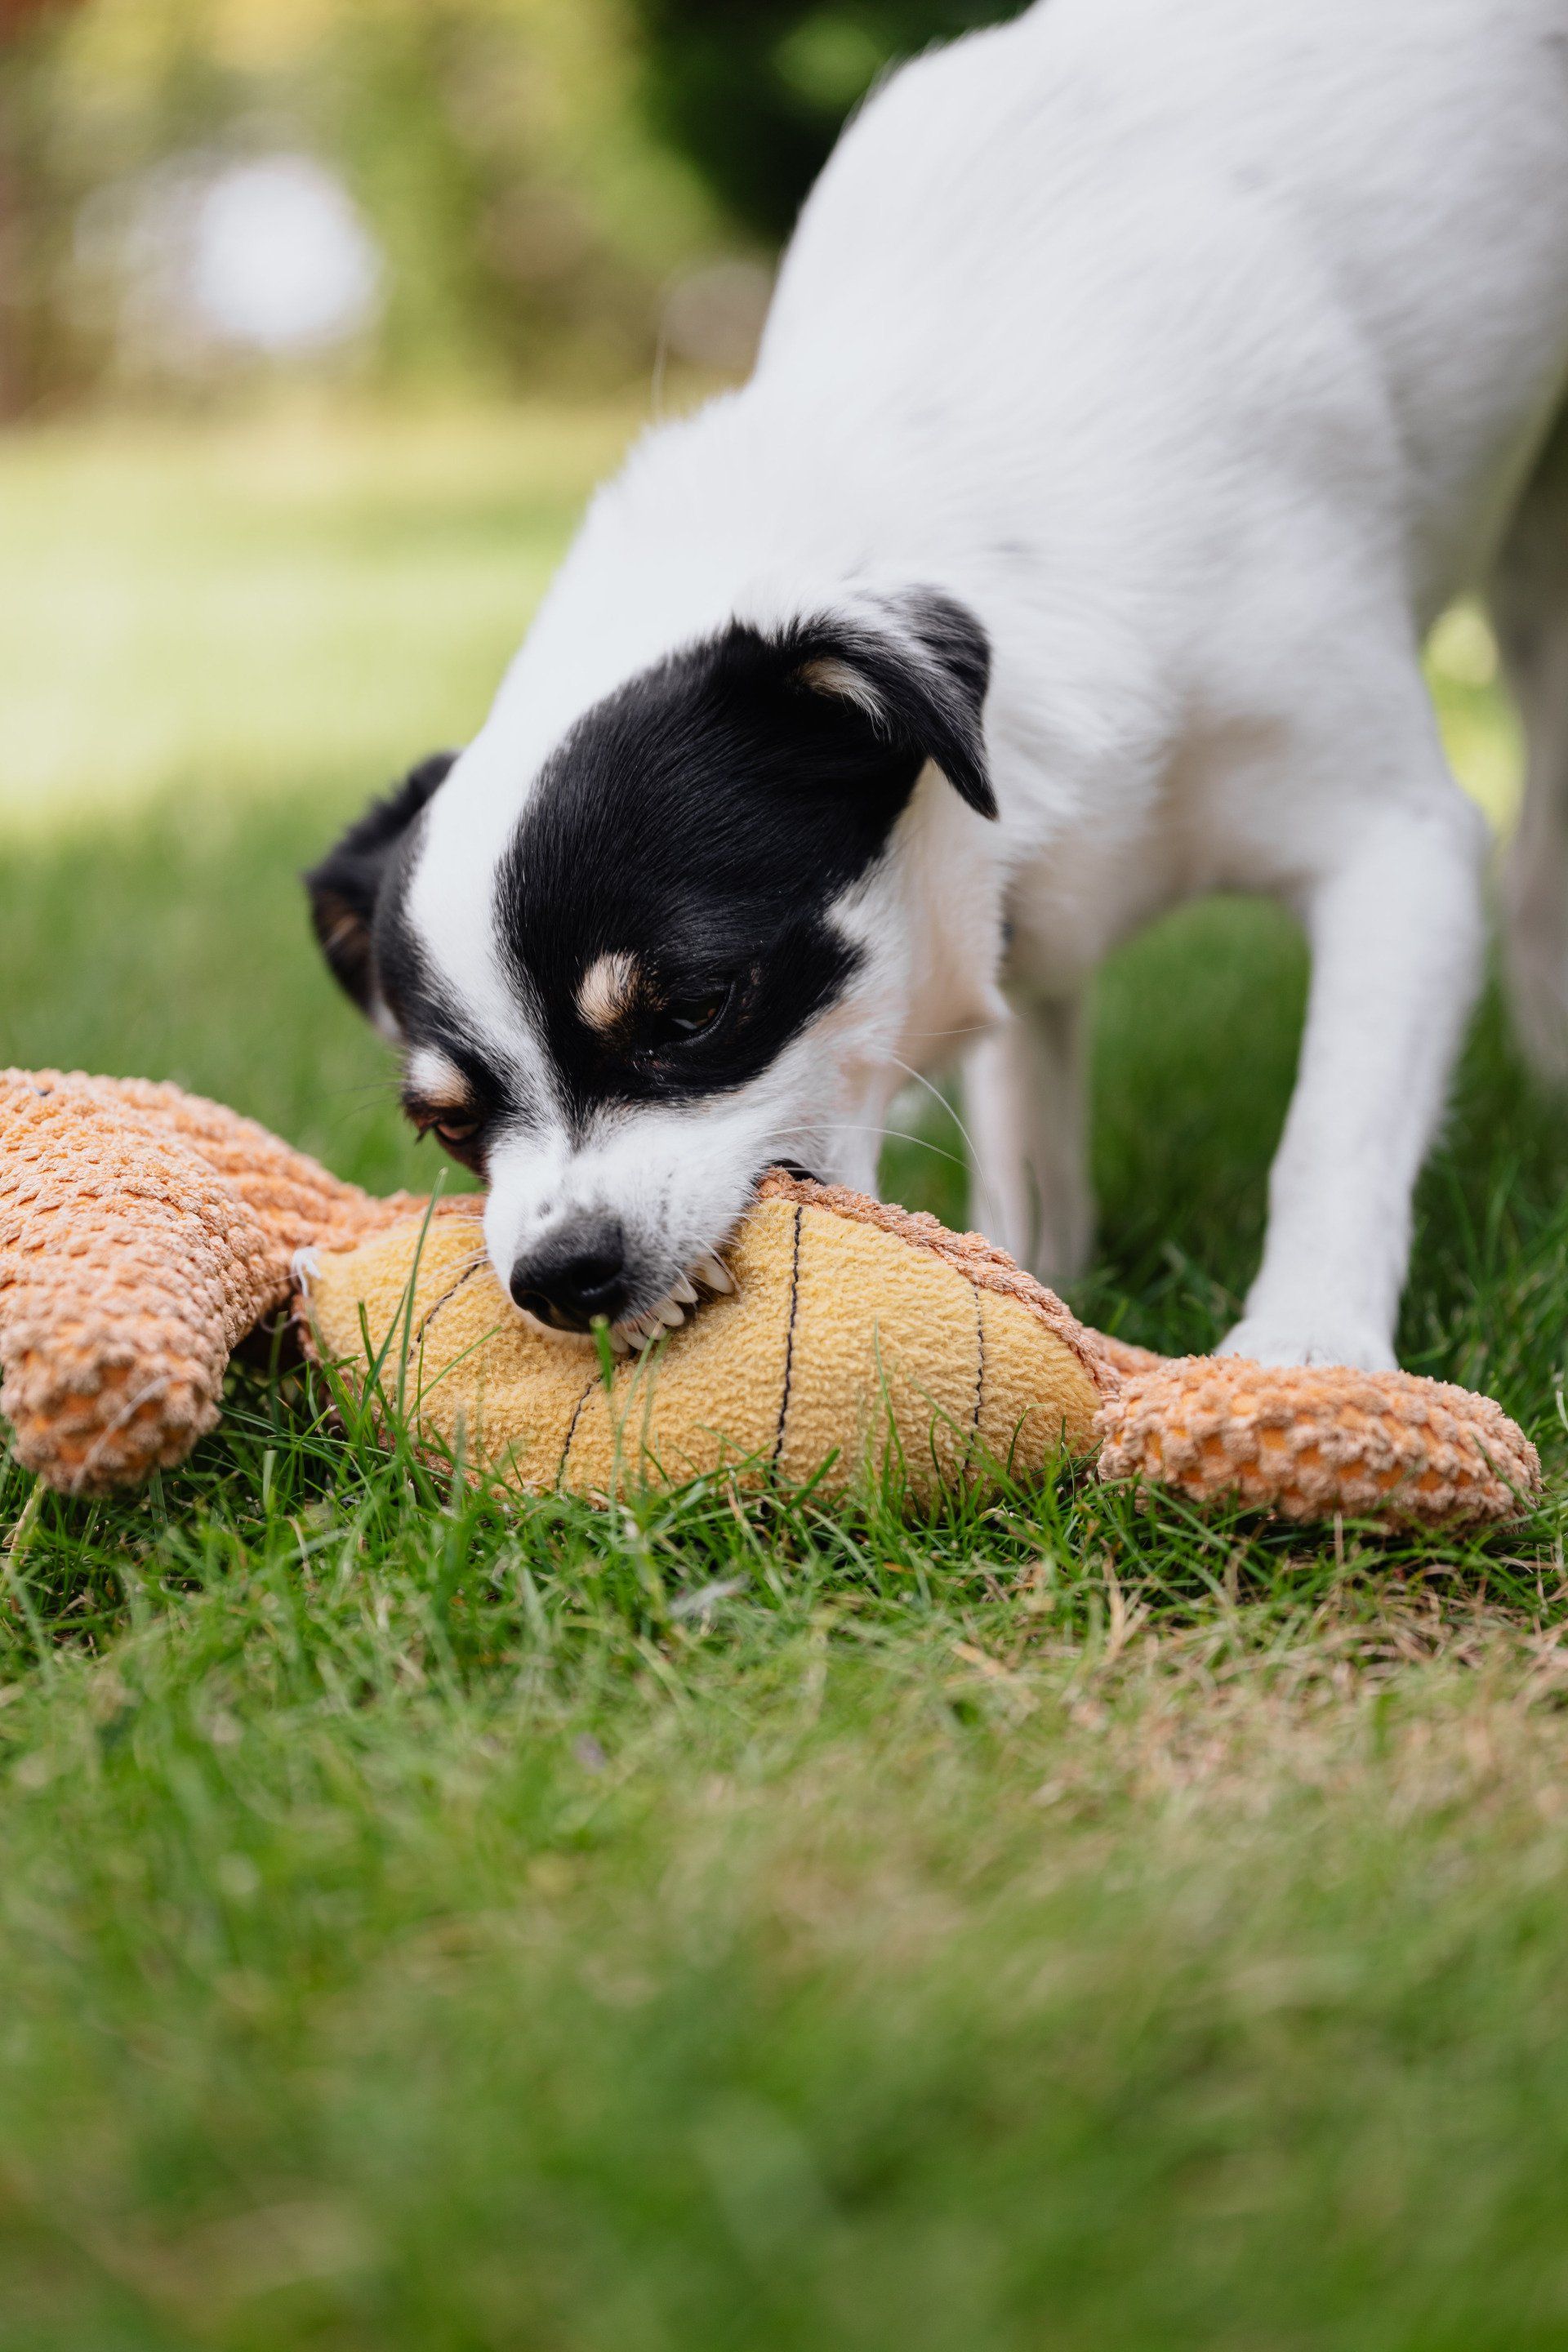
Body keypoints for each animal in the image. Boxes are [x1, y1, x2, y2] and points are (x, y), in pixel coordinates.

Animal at [305, 0, 1568, 1373]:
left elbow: (1338, 1124)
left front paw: (1309, 1344)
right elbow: (1029, 1141)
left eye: (692, 1009)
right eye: (449, 1127)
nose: (556, 1274)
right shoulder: (1031, 933)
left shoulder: (1396, 847)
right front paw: (1036, 1286)